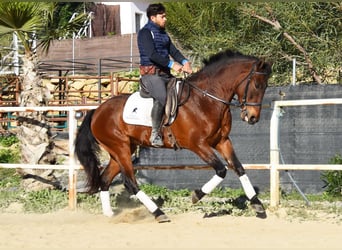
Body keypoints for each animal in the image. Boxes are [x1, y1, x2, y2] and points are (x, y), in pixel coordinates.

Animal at [75, 49, 272, 222]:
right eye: (257, 85)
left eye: (265, 87)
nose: (252, 118)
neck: (205, 99)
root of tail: (97, 111)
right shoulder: (198, 145)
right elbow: (221, 170)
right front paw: (196, 195)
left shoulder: (222, 141)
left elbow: (239, 168)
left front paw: (257, 205)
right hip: (120, 149)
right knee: (130, 182)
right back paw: (159, 213)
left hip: (122, 150)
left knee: (105, 180)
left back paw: (109, 215)